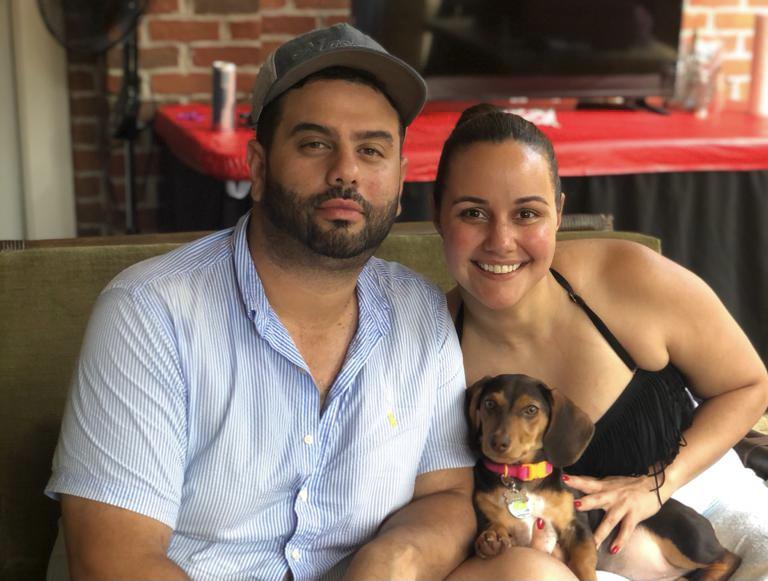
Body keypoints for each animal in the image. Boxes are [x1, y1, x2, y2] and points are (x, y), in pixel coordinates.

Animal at [466, 373, 742, 581]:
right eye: (489, 404)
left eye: (530, 409)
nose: (497, 443)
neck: (520, 480)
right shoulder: (487, 515)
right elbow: (493, 525)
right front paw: (492, 538)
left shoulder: (576, 528)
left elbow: (583, 564)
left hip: (687, 540)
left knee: (730, 557)